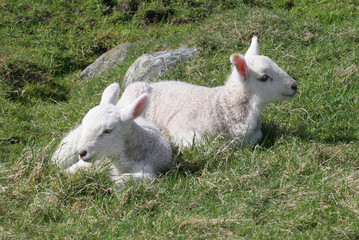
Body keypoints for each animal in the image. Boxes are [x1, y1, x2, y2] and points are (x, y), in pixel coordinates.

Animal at [118, 36, 298, 148]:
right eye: (264, 77)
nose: (294, 86)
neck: (223, 107)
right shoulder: (182, 125)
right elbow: (202, 143)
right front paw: (169, 136)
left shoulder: (254, 135)